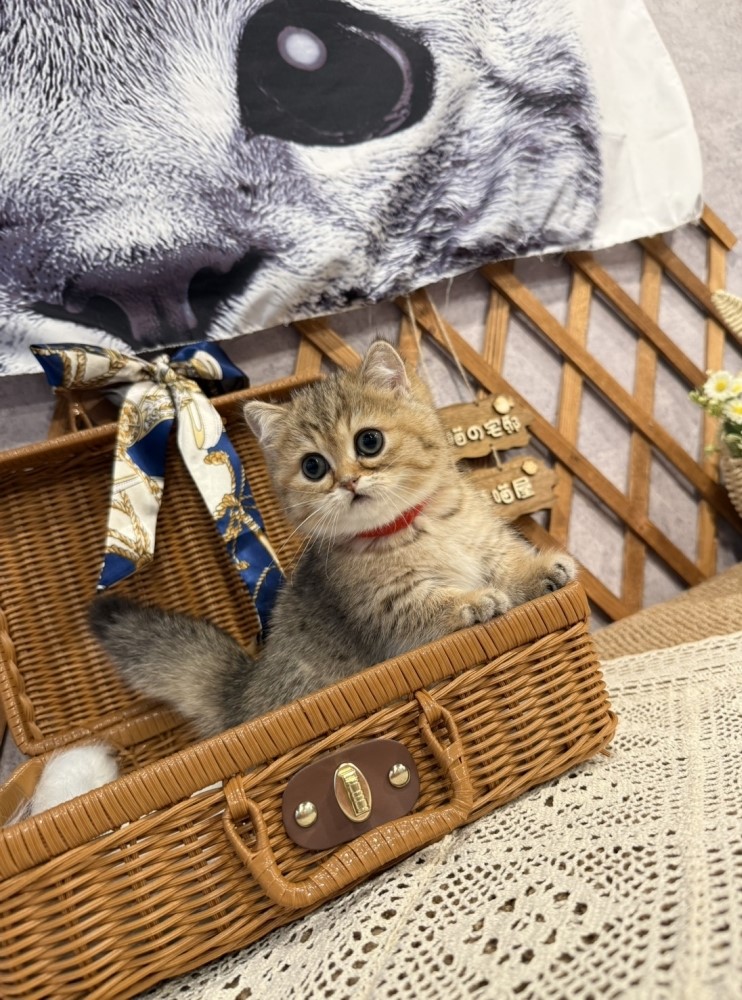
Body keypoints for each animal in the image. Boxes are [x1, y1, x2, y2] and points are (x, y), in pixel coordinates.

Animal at [89, 340, 576, 737]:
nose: (348, 482)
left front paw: (541, 571)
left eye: (369, 441)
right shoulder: (389, 610)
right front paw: (472, 602)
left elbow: (510, 563)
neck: (415, 527)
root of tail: (244, 693)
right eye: (313, 467)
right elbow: (431, 606)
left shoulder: (488, 545)